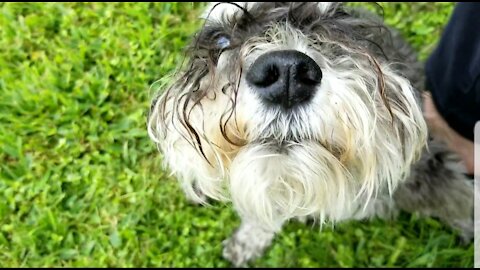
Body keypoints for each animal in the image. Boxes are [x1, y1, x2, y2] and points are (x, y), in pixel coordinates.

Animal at [145, 2, 472, 266]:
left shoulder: (429, 171)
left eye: (335, 24)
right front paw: (249, 239)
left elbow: (462, 199)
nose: (287, 75)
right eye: (221, 38)